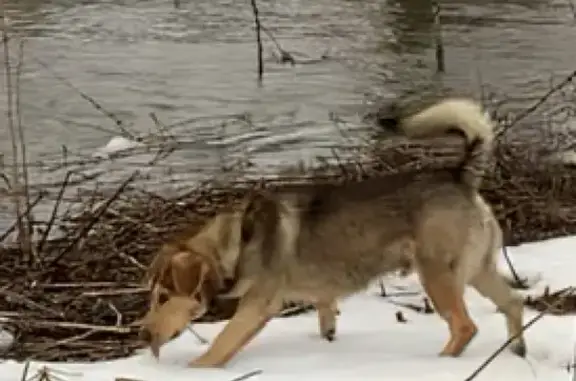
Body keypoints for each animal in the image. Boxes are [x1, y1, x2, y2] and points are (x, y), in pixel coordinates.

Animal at [145, 96, 528, 366]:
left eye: (164, 297)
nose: (145, 334)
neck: (239, 239)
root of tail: (460, 176)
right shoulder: (323, 297)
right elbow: (326, 319)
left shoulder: (257, 306)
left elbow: (219, 347)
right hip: (478, 269)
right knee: (513, 302)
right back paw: (517, 351)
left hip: (437, 275)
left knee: (465, 326)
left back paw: (441, 363)